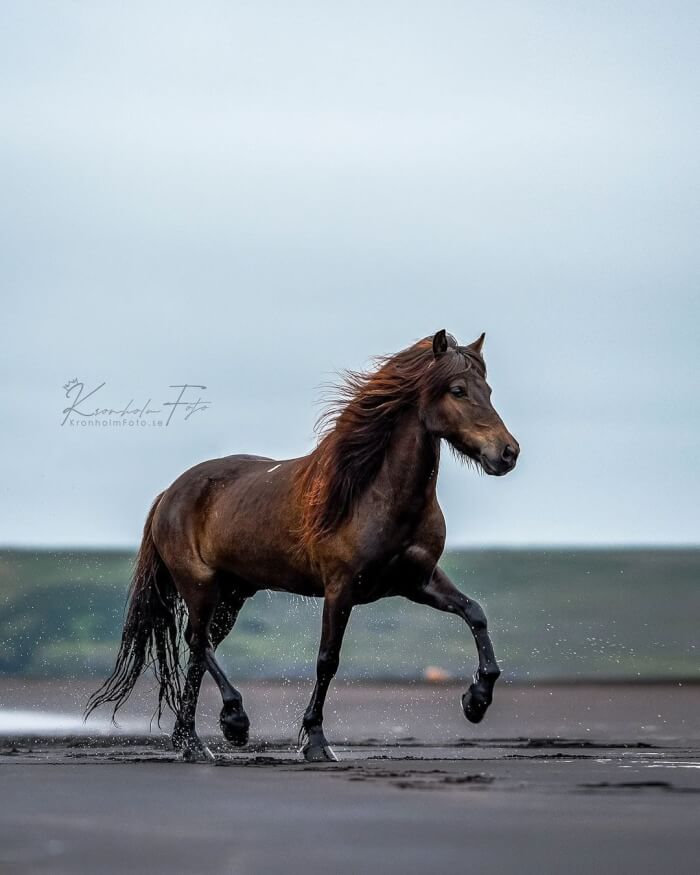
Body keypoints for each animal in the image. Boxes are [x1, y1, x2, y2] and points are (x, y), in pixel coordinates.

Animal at [85, 328, 520, 760]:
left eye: (488, 389)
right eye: (458, 390)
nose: (507, 453)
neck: (376, 494)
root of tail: (170, 493)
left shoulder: (418, 581)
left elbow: (475, 613)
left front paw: (476, 701)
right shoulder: (340, 589)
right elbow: (327, 660)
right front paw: (315, 742)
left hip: (232, 594)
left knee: (199, 649)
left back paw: (191, 742)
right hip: (200, 585)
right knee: (197, 641)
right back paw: (233, 722)